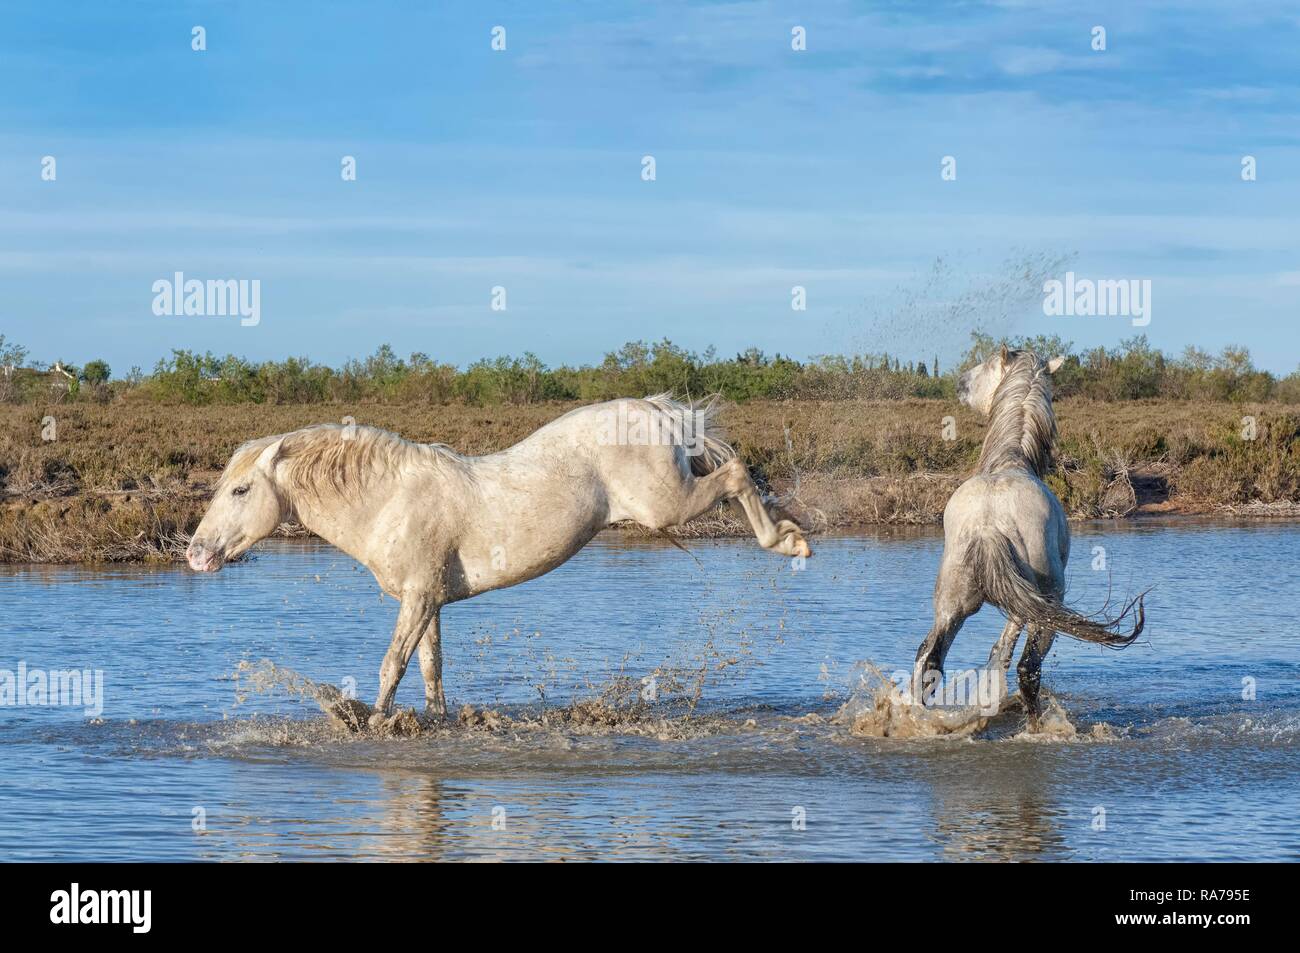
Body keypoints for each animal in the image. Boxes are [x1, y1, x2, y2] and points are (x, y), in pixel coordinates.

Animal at [187, 395, 806, 728]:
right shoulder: (430, 600)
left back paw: (791, 542)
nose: (195, 553)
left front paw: (372, 721)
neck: (388, 499)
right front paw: (430, 720)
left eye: (241, 490)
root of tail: (654, 409)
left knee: (735, 474)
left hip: (665, 505)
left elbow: (392, 665)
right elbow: (432, 670)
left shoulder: (417, 598)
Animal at [915, 348, 1149, 728]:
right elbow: (1007, 647)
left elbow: (999, 647)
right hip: (1049, 606)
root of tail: (987, 523)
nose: (960, 383)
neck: (1010, 459)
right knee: (1029, 668)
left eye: (983, 367)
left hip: (951, 604)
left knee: (928, 659)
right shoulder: (1029, 603)